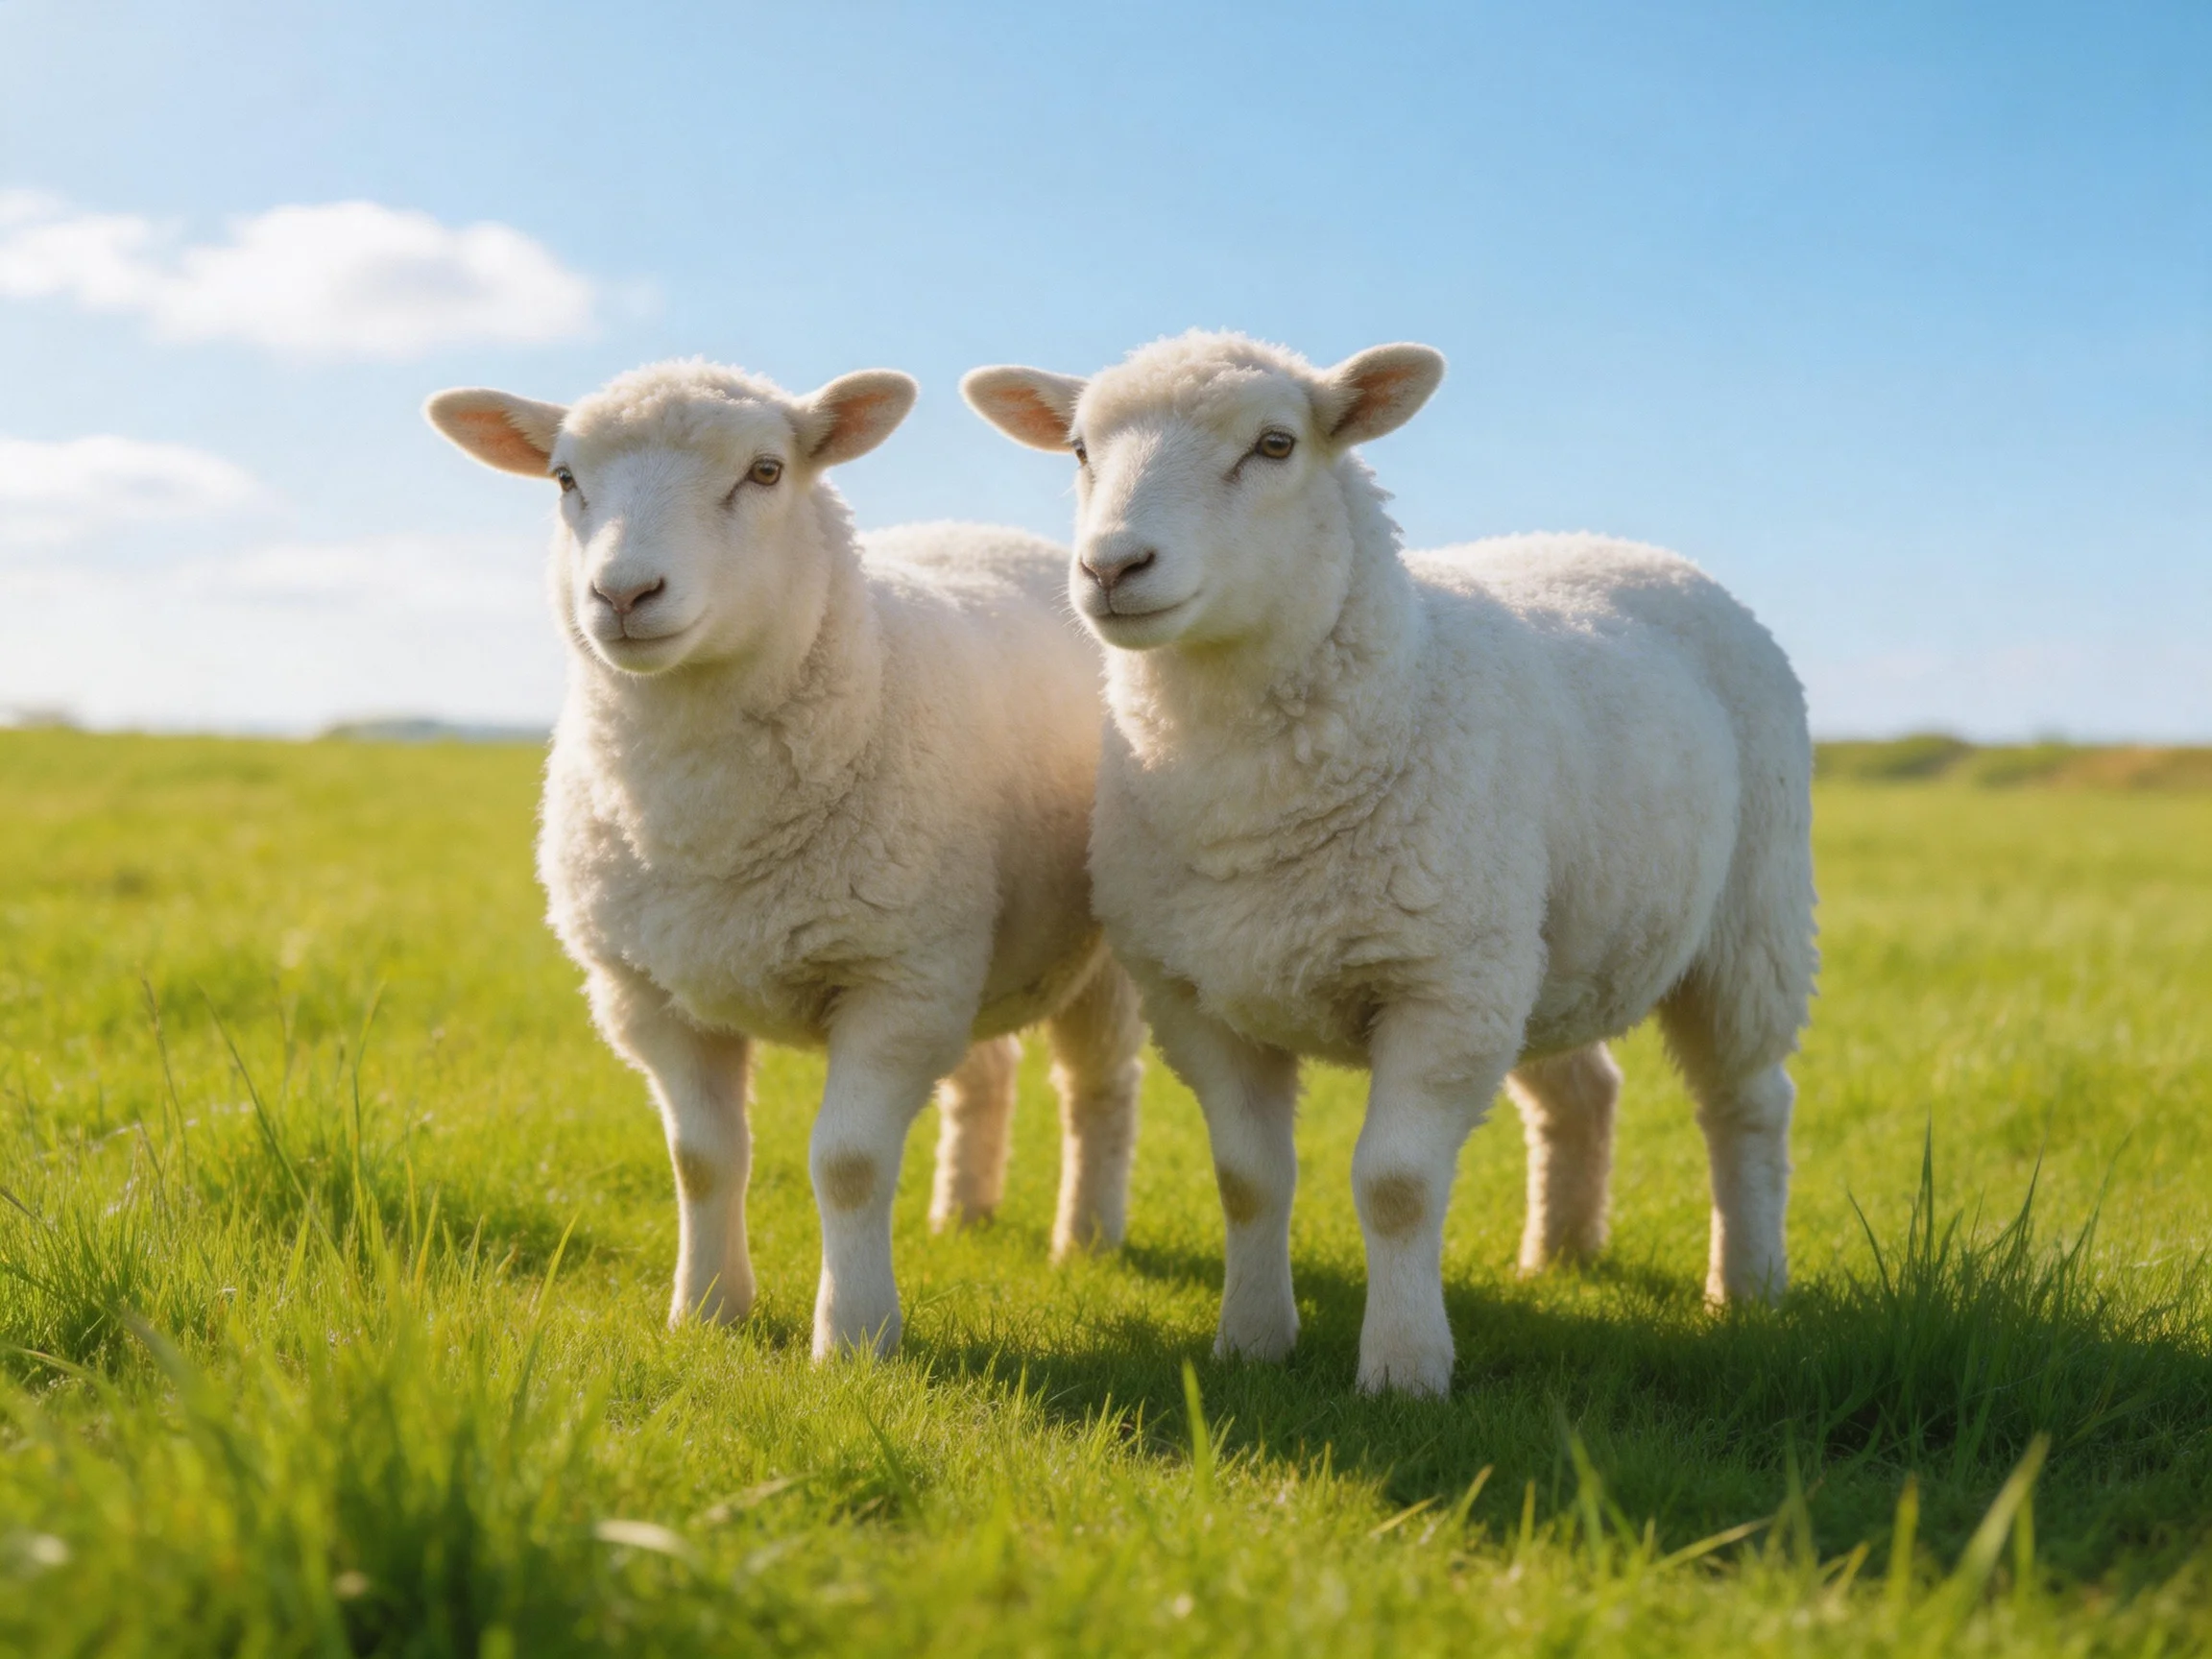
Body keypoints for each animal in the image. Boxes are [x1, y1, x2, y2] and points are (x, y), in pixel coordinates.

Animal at [425, 359, 1143, 1359]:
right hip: (968, 946)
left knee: (1097, 1088)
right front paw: (706, 1310)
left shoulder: (893, 982)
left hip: (1084, 950)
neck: (707, 826)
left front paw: (856, 1341)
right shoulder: (648, 992)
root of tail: (989, 534)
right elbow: (701, 1159)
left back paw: (1085, 1239)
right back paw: (962, 1214)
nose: (623, 594)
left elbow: (848, 1164)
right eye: (565, 478)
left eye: (766, 471)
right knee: (986, 1074)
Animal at [964, 331, 1816, 1396]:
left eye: (1276, 444)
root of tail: (1628, 546)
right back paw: (1561, 1259)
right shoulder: (1197, 997)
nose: (1112, 565)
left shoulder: (1439, 989)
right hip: (1543, 948)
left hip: (1749, 920)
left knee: (1747, 1103)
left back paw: (1746, 1286)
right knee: (1585, 1093)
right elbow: (1248, 1182)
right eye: (1080, 449)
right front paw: (1251, 1341)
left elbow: (1398, 1185)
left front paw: (1405, 1370)